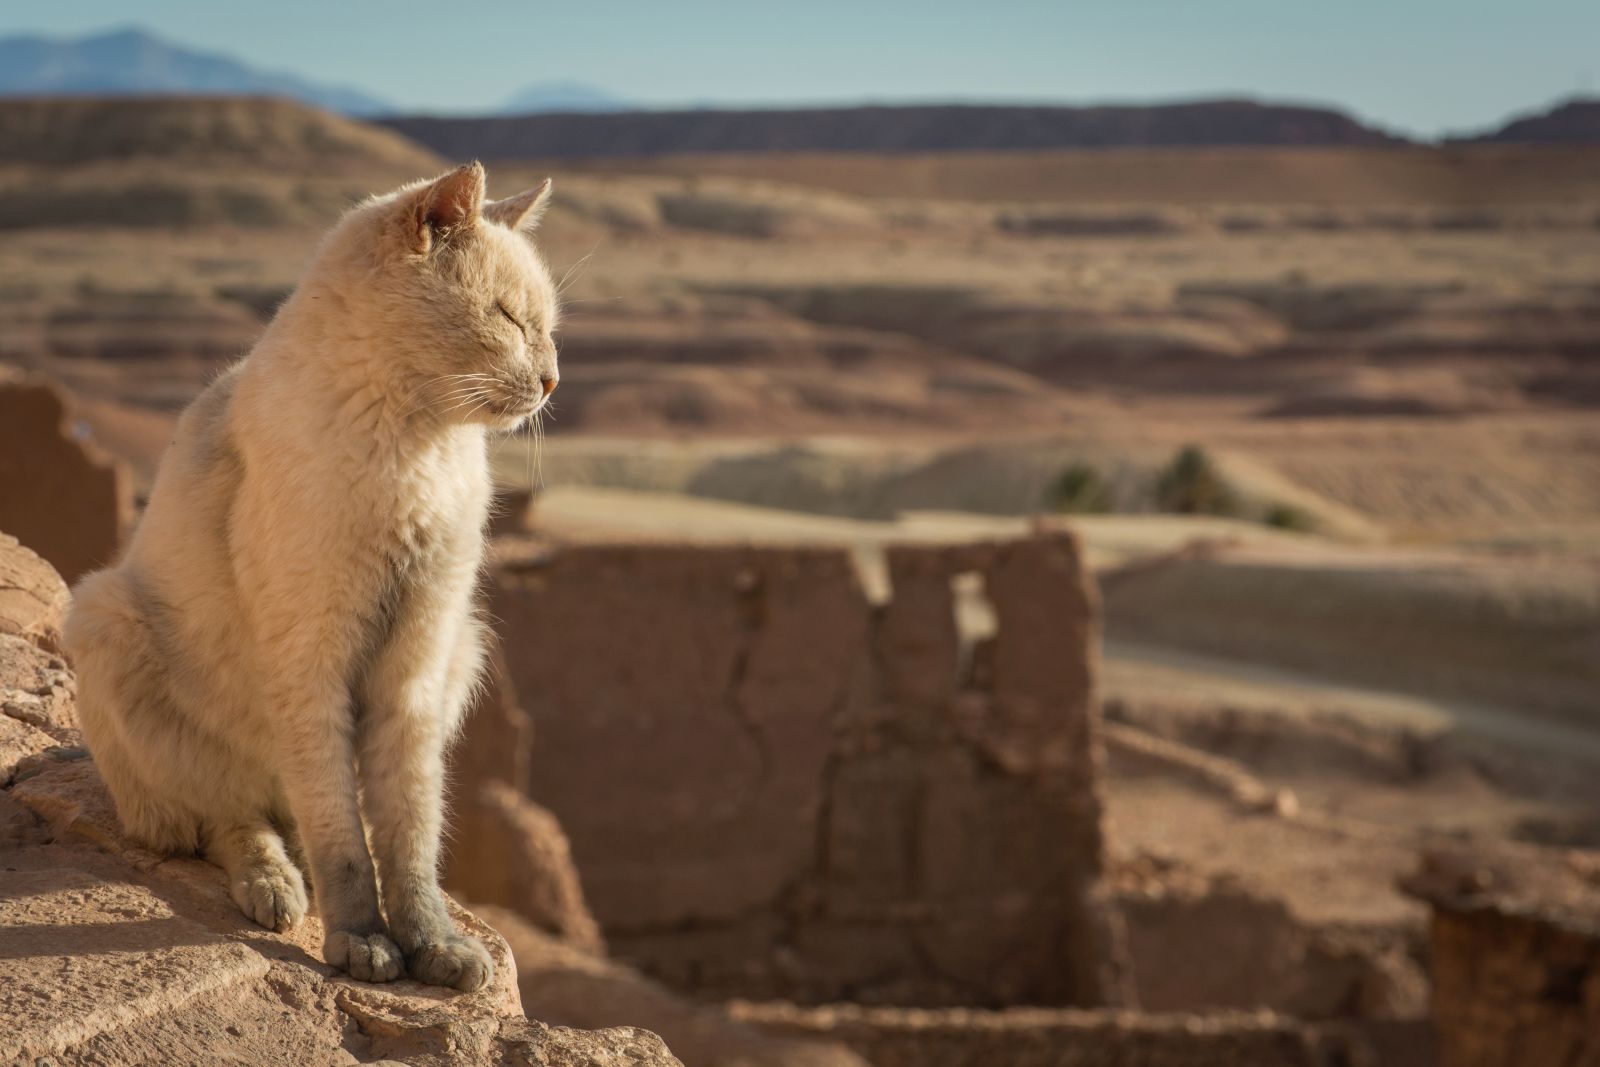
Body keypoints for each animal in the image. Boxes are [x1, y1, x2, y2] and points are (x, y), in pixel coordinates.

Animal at [62, 164, 560, 991]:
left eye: (549, 326)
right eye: (509, 319)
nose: (553, 380)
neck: (418, 444)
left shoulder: (416, 665)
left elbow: (408, 835)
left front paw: (435, 949)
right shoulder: (312, 661)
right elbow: (346, 844)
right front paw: (363, 945)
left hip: (467, 644)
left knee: (289, 816)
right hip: (106, 615)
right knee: (230, 819)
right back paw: (277, 888)